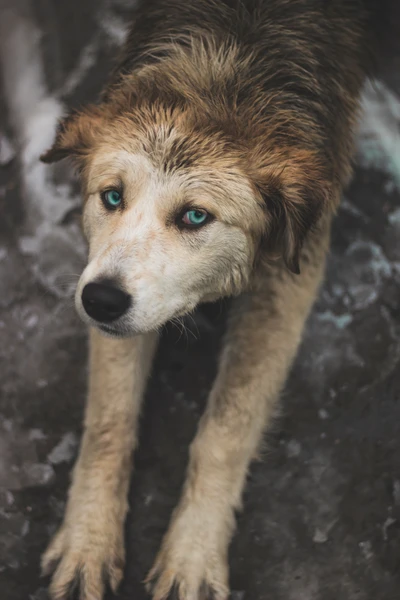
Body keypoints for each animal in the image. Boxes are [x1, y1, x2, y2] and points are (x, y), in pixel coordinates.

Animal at [38, 1, 390, 600]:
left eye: (196, 216)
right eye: (112, 197)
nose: (100, 301)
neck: (227, 66)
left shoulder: (288, 280)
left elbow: (225, 432)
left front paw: (193, 555)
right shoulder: (103, 277)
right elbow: (109, 422)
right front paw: (88, 540)